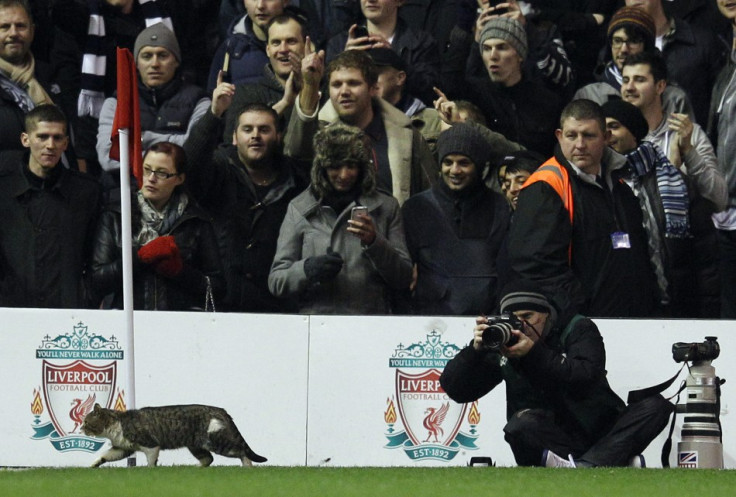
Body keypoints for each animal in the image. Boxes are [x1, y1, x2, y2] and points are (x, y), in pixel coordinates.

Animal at [83, 402, 268, 466]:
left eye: (86, 422)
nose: (81, 428)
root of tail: (221, 410)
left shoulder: (150, 445)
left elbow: (151, 462)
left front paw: (149, 470)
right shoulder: (122, 448)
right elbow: (104, 456)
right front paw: (94, 465)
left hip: (218, 443)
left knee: (242, 452)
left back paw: (248, 466)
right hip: (196, 445)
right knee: (208, 459)